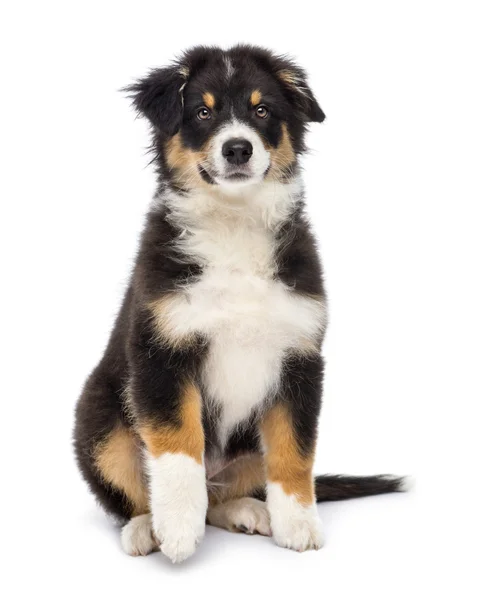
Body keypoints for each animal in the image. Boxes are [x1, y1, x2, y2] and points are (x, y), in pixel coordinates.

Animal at [74, 45, 406, 564]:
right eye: (202, 112)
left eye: (262, 110)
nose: (237, 149)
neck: (234, 224)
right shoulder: (161, 354)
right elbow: (177, 446)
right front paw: (177, 529)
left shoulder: (300, 358)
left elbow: (295, 453)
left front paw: (299, 525)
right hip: (101, 420)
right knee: (139, 489)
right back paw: (146, 528)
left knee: (224, 495)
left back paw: (251, 512)